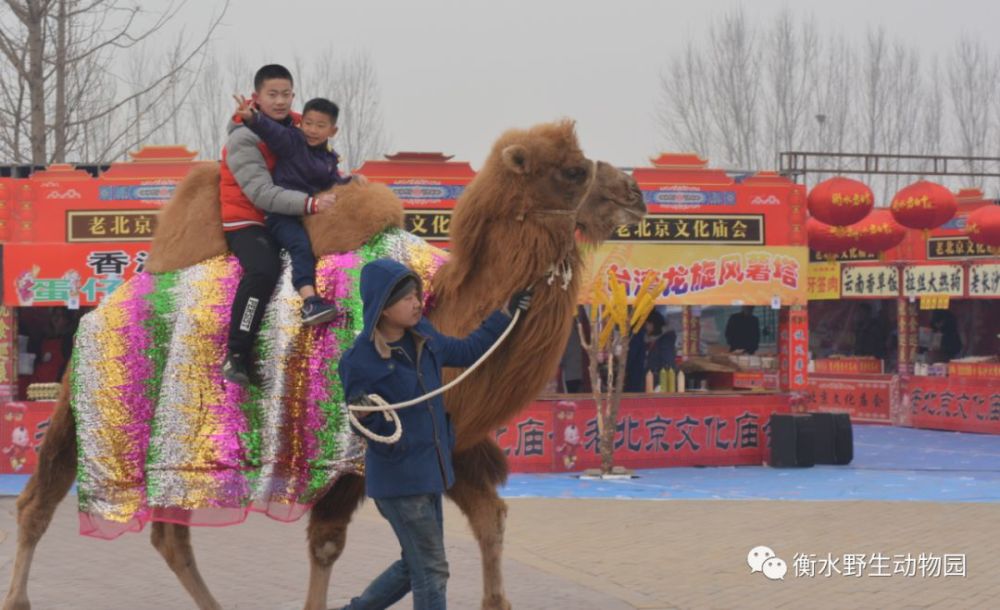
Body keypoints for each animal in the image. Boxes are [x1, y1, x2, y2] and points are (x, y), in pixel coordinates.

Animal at [1, 120, 648, 608]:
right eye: (573, 170)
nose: (635, 192)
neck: (440, 308)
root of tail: (104, 305)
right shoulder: (344, 447)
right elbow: (328, 546)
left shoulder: (453, 435)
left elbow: (491, 520)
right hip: (88, 404)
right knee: (40, 502)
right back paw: (21, 596)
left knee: (167, 533)